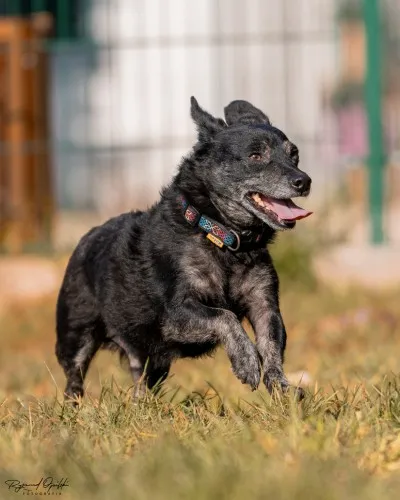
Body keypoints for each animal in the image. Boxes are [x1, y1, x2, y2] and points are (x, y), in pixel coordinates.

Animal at [55, 98, 312, 402]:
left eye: (294, 155)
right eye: (255, 156)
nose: (304, 181)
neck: (221, 236)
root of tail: (86, 238)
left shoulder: (264, 304)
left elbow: (271, 344)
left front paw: (282, 389)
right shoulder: (174, 315)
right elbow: (224, 316)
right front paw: (246, 362)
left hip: (151, 361)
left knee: (140, 381)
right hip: (76, 335)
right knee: (74, 377)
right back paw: (74, 406)